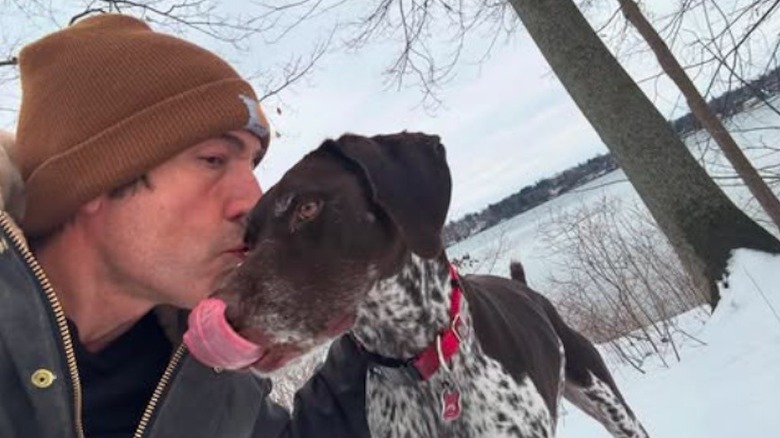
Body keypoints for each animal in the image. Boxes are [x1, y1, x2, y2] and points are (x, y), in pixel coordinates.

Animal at [213, 133, 652, 438]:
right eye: (247, 243)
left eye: (307, 207)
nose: (219, 316)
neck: (419, 360)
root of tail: (529, 291)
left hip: (608, 401)